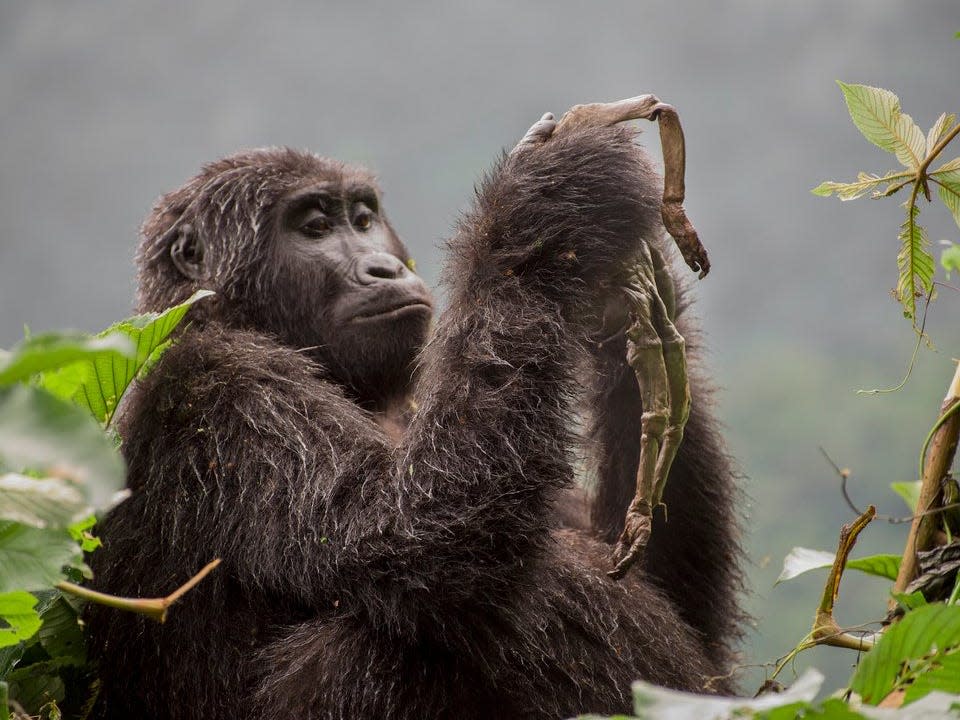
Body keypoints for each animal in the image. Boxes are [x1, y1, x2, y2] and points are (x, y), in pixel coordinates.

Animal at [86, 101, 744, 720]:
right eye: (314, 227)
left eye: (363, 220)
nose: (385, 267)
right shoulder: (222, 386)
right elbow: (405, 542)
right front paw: (553, 199)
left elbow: (659, 582)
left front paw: (621, 291)